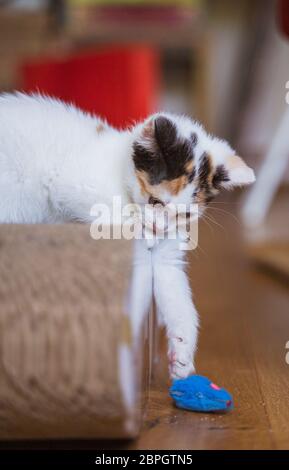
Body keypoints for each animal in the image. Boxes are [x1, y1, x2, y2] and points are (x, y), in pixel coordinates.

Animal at [0, 92, 254, 378]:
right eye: (155, 201)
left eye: (186, 214)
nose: (158, 228)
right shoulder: (69, 182)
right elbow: (114, 218)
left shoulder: (169, 252)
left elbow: (174, 289)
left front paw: (183, 352)